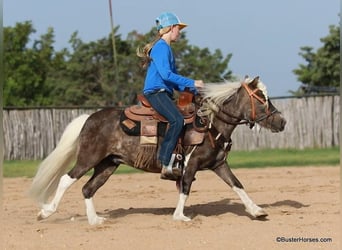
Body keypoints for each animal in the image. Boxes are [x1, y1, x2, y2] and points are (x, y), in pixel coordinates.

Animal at [28, 76, 286, 225]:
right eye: (261, 98)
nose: (281, 121)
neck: (211, 124)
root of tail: (89, 118)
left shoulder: (219, 164)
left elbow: (237, 185)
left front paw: (257, 210)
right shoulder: (190, 164)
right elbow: (185, 188)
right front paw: (180, 216)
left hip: (108, 165)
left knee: (87, 188)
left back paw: (95, 220)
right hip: (88, 158)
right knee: (66, 179)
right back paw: (46, 212)